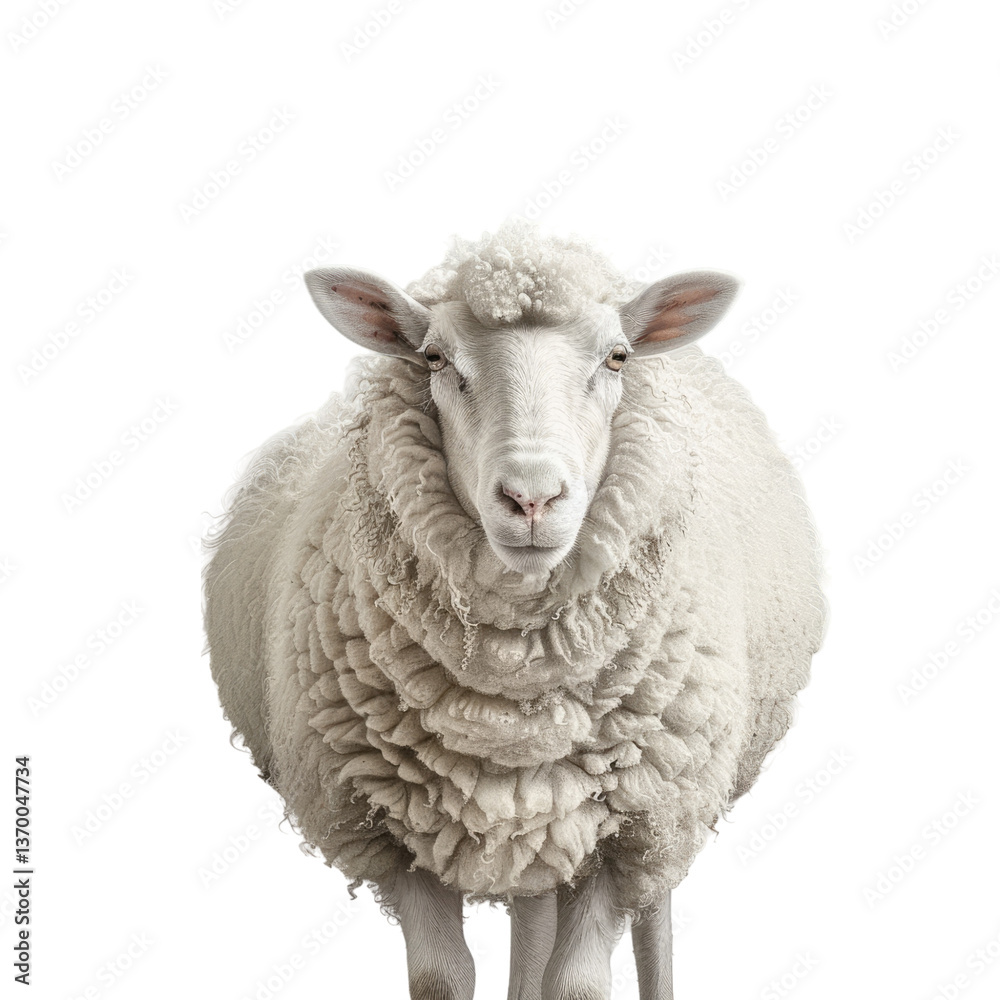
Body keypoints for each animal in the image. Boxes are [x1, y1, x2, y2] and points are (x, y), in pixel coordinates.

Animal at [203, 220, 826, 1000]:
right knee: (532, 910)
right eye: (435, 356)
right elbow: (443, 978)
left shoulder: (632, 825)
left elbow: (578, 984)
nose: (532, 498)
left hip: (671, 797)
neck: (512, 690)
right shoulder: (390, 830)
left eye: (617, 356)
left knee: (653, 910)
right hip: (537, 817)